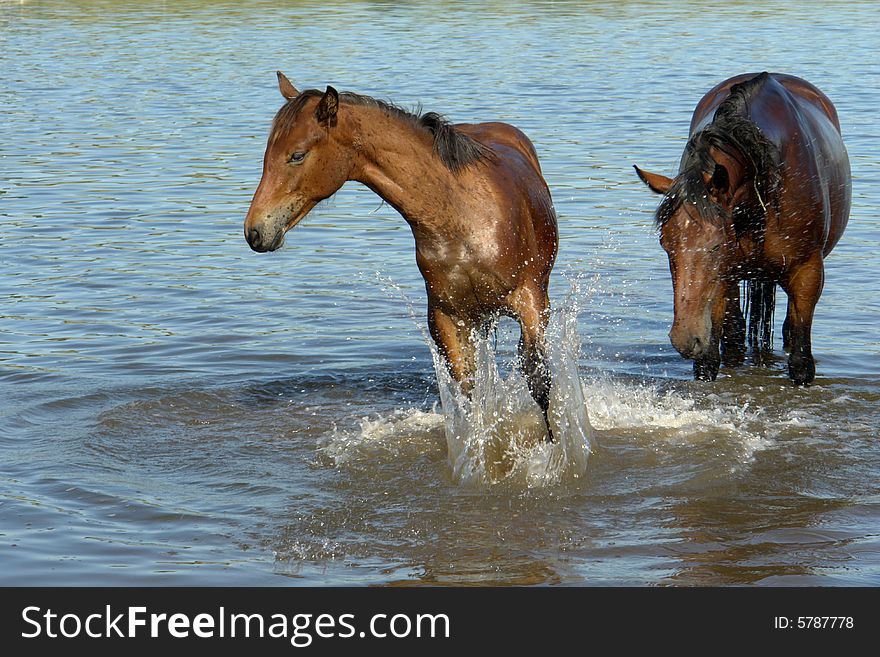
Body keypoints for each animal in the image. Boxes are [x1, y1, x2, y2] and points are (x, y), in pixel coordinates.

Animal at [242, 70, 556, 440]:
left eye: (297, 155)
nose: (254, 231)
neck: (461, 219)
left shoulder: (530, 302)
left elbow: (539, 383)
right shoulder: (447, 318)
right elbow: (468, 394)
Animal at [636, 70, 848, 384]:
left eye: (714, 246)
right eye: (666, 245)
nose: (685, 338)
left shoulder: (808, 272)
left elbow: (801, 363)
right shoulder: (723, 278)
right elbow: (709, 361)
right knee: (734, 334)